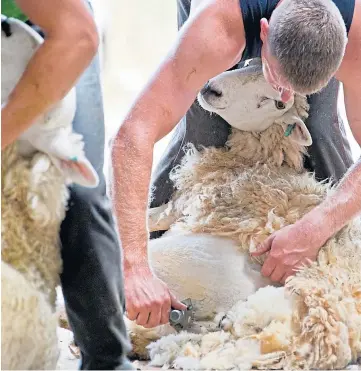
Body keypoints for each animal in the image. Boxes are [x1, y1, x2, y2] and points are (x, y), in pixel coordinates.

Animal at [125, 58, 358, 370]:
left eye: (278, 104)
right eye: (249, 62)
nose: (212, 89)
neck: (253, 163)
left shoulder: (183, 207)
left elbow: (149, 218)